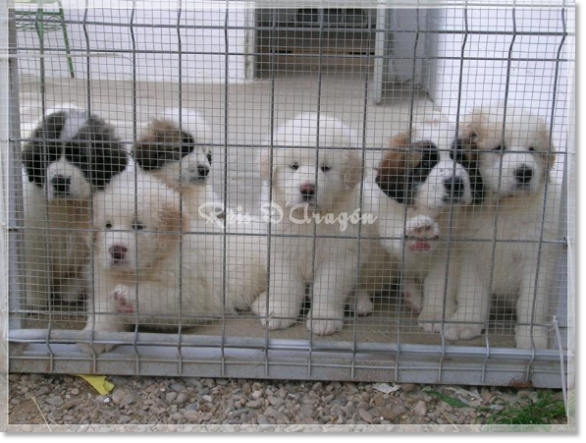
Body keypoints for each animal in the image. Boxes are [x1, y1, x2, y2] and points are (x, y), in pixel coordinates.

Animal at [22, 106, 126, 310]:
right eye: (49, 156)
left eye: (81, 158)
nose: (59, 181)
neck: (68, 207)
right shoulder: (35, 235)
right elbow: (37, 269)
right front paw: (37, 300)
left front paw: (71, 288)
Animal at [78, 172, 264, 356]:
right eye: (107, 225)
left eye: (138, 225)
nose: (116, 251)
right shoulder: (102, 285)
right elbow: (103, 312)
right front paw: (93, 336)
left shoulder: (186, 291)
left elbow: (154, 293)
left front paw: (127, 296)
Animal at [362, 121, 482, 322]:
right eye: (425, 163)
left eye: (462, 160)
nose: (455, 183)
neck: (432, 212)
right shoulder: (390, 218)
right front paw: (418, 234)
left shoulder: (450, 253)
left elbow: (439, 283)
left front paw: (434, 314)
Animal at [440, 105, 560, 350]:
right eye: (499, 148)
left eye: (532, 150)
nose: (525, 172)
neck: (503, 210)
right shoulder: (473, 254)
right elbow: (471, 292)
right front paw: (465, 323)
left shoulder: (538, 257)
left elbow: (532, 301)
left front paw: (531, 336)